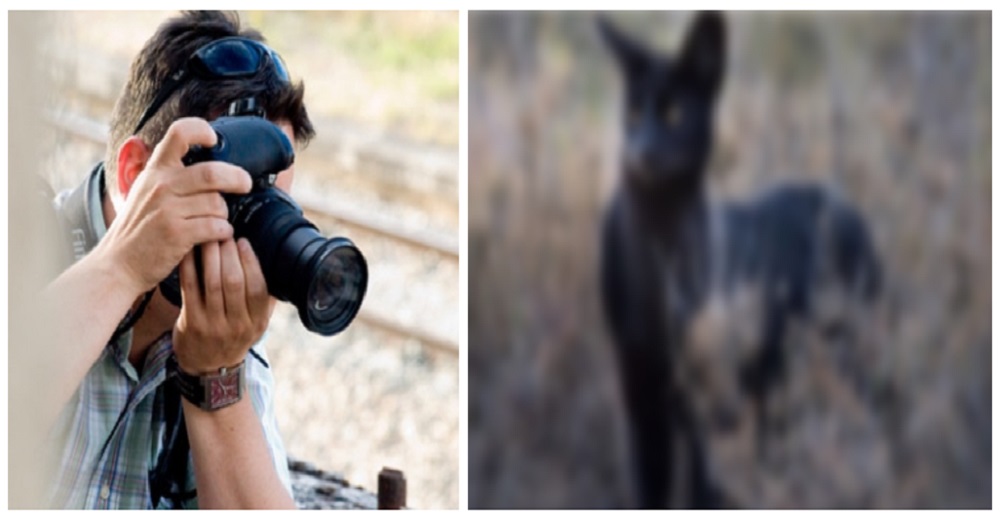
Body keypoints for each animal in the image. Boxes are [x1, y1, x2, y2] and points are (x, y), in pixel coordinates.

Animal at [596, 11, 880, 508]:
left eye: (674, 113)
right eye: (632, 113)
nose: (641, 150)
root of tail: (847, 206)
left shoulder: (708, 401)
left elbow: (703, 490)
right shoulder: (640, 393)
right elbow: (650, 488)